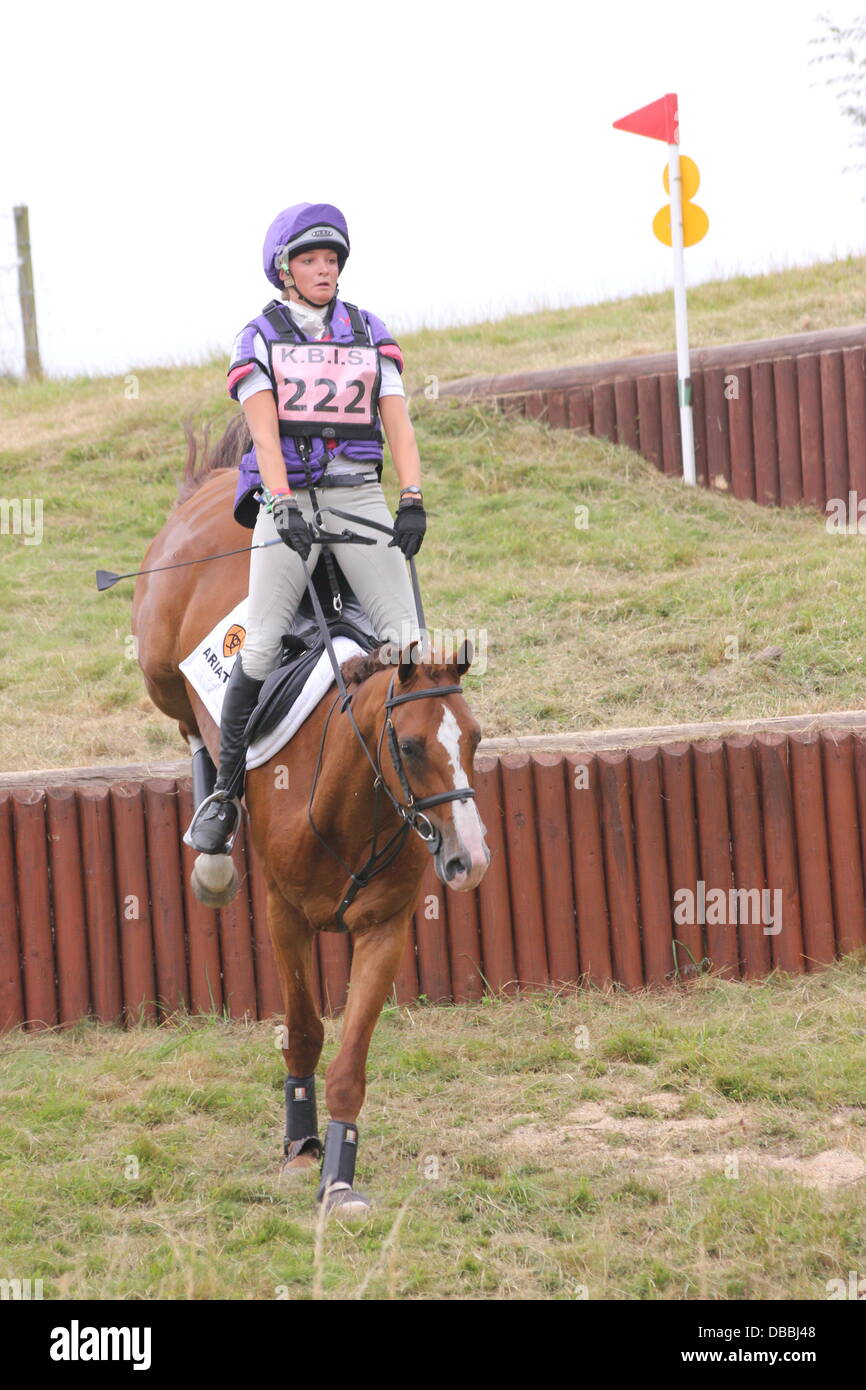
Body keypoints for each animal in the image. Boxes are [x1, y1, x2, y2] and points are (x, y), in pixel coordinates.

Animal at [132, 422, 492, 1217]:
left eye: (476, 741)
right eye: (410, 746)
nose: (470, 861)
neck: (350, 807)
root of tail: (212, 487)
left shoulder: (383, 929)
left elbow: (350, 1058)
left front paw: (340, 1176)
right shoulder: (286, 916)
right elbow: (301, 1031)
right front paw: (299, 1149)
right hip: (160, 664)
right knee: (196, 725)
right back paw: (212, 837)